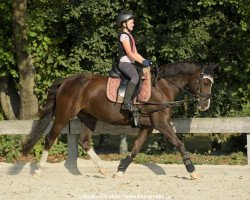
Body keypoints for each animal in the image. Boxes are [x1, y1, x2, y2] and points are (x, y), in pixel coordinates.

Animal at [22, 60, 217, 178]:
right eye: (205, 82)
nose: (205, 105)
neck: (162, 87)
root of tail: (66, 80)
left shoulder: (147, 126)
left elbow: (135, 149)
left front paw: (120, 171)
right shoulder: (160, 123)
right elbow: (179, 143)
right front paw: (192, 171)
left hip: (88, 117)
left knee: (84, 141)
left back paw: (103, 168)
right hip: (64, 116)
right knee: (50, 138)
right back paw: (39, 170)